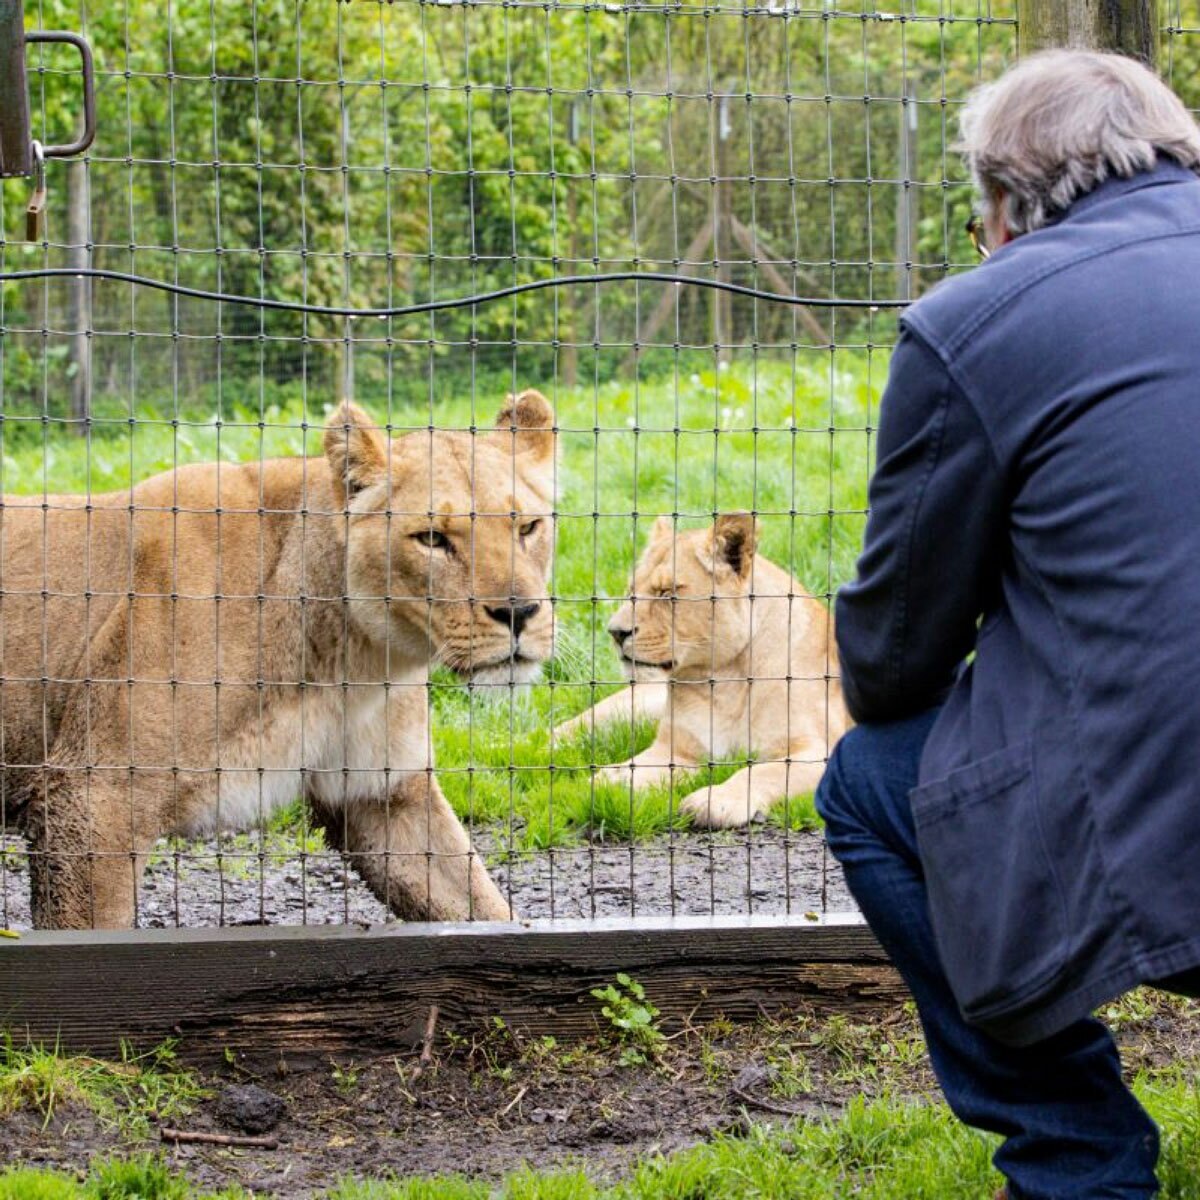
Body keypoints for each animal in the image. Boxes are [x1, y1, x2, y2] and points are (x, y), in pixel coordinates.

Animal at [1, 391, 556, 929]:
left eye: (528, 527)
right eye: (432, 539)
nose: (519, 612)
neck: (350, 660)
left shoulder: (383, 796)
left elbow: (479, 904)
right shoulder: (95, 798)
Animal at [555, 514, 849, 827]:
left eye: (667, 593)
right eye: (630, 592)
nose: (615, 632)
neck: (724, 682)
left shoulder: (820, 750)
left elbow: (762, 771)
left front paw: (716, 800)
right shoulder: (676, 751)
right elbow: (636, 767)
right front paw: (608, 780)